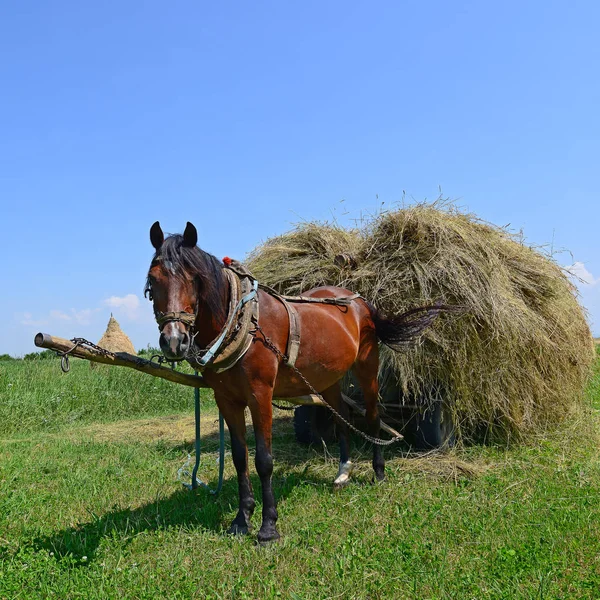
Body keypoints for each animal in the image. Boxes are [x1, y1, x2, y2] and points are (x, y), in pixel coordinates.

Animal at [144, 221, 446, 544]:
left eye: (194, 278)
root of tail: (360, 300)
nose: (174, 341)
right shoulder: (226, 399)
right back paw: (343, 472)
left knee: (374, 417)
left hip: (367, 366)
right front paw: (241, 519)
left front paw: (268, 527)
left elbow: (264, 460)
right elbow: (239, 457)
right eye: (153, 280)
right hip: (328, 379)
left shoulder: (260, 395)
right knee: (341, 418)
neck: (244, 323)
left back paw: (378, 472)